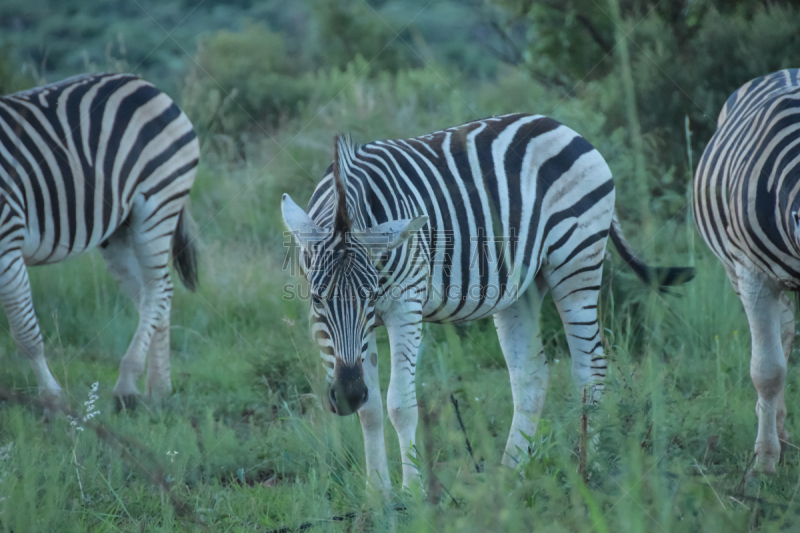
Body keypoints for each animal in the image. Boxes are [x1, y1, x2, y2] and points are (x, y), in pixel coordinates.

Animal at [0, 74, 198, 416]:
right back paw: (158, 389)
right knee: (153, 293)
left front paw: (53, 401)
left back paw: (127, 387)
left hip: (158, 204)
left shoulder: (7, 242)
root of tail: (145, 84)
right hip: (119, 230)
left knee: (157, 292)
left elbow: (26, 334)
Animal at [282, 113, 692, 494]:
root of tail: (559, 124)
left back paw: (584, 468)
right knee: (531, 377)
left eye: (368, 297)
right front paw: (377, 495)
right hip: (522, 288)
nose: (346, 396)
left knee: (590, 369)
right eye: (317, 297)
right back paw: (511, 474)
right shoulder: (335, 328)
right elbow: (369, 411)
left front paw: (412, 494)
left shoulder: (405, 306)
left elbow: (399, 404)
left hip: (577, 259)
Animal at [692, 68, 800, 472]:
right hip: (735, 271)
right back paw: (778, 433)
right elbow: (768, 371)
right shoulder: (753, 274)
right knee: (781, 335)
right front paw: (765, 462)